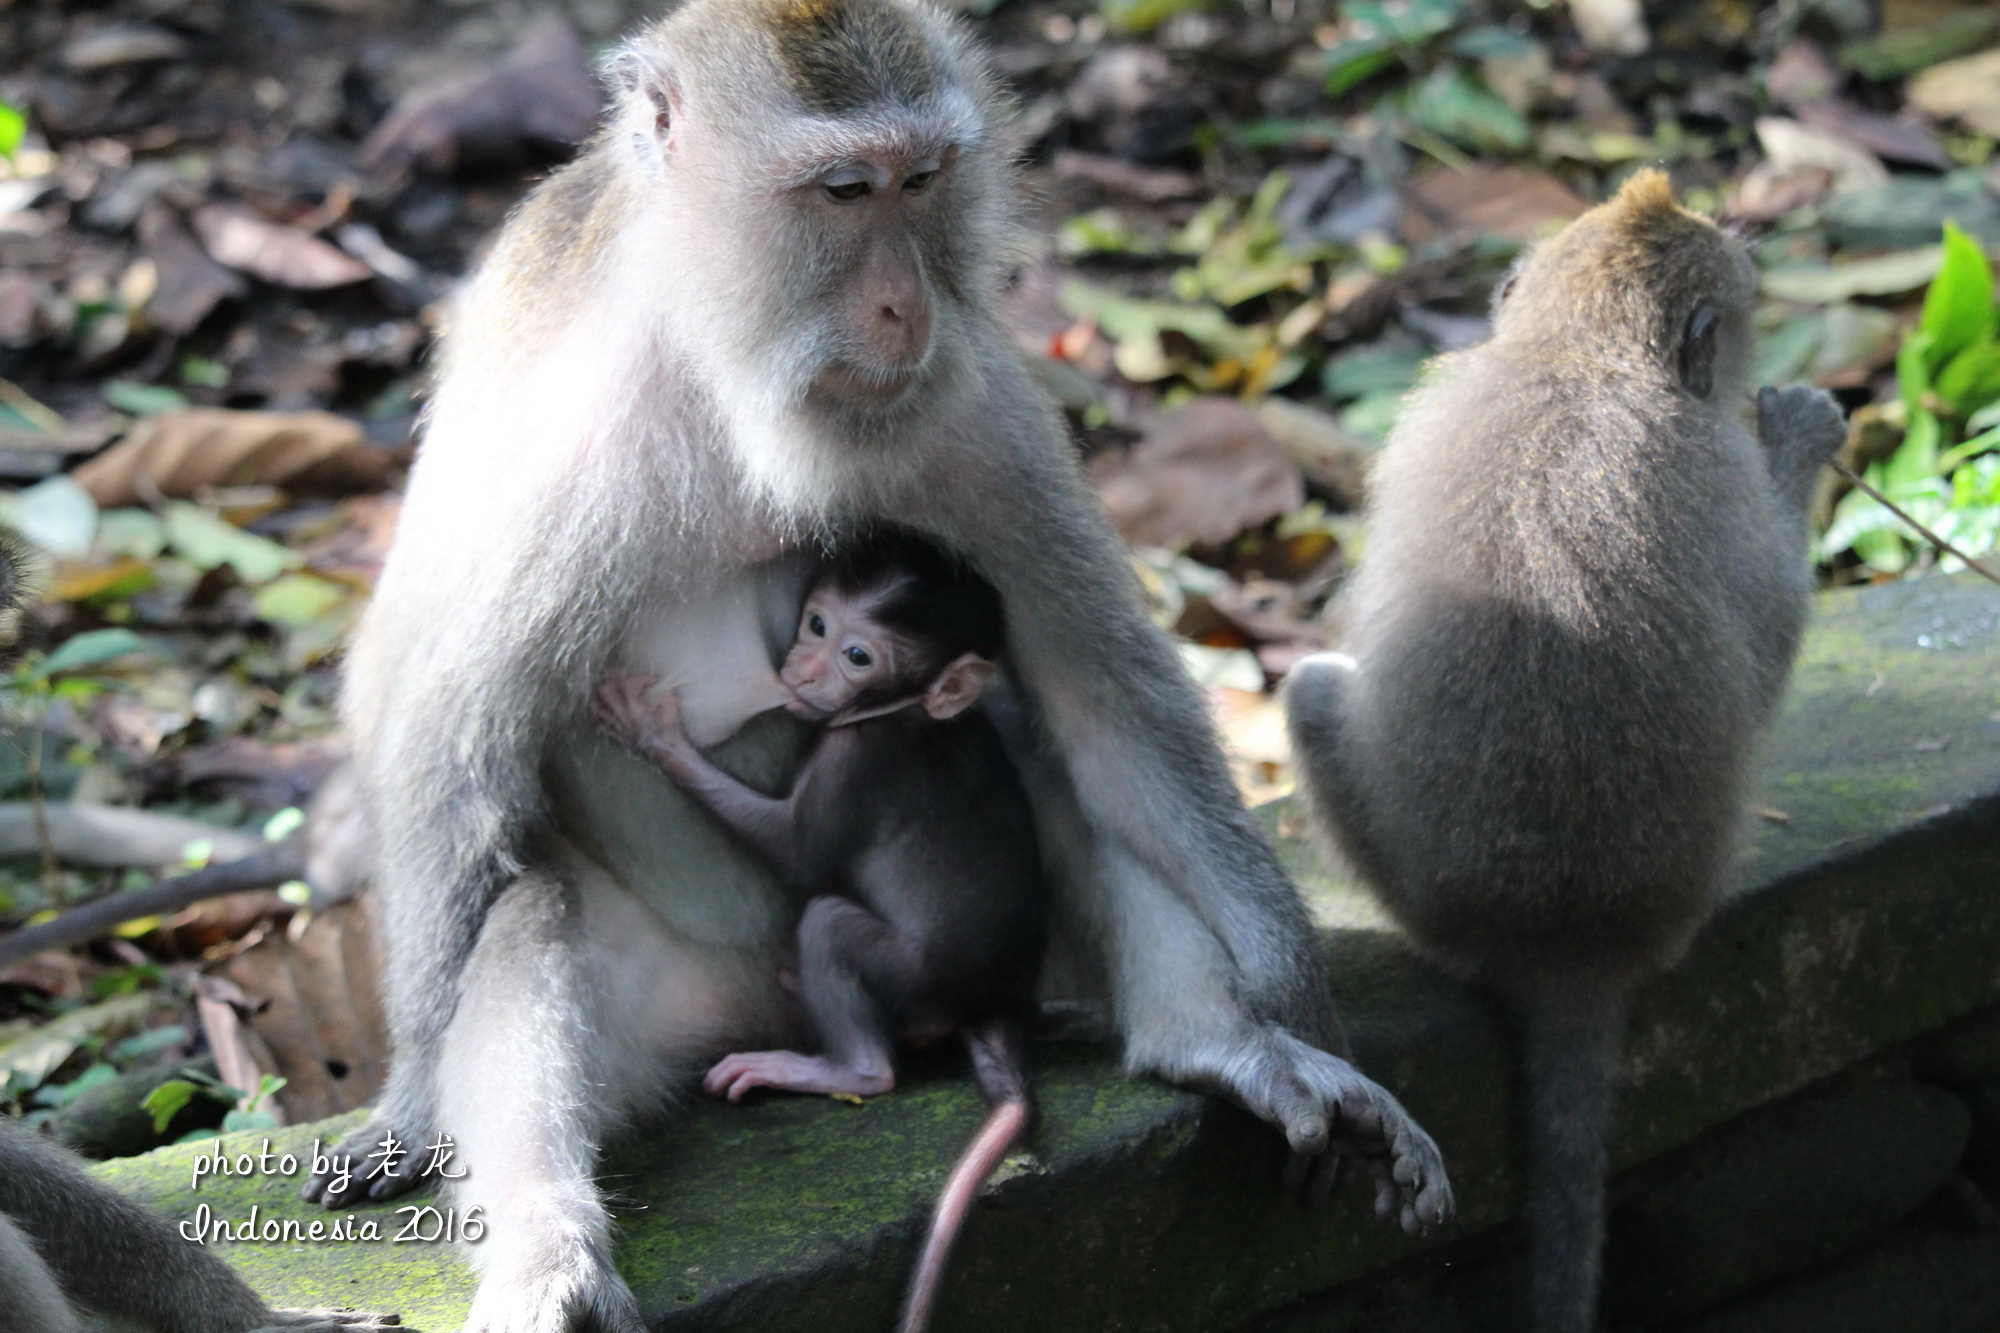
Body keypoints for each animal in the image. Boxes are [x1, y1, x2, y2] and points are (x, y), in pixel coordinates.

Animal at [592, 528, 1048, 1328]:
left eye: (858, 656)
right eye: (816, 623)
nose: (804, 667)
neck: (907, 711)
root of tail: (993, 999)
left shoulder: (858, 755)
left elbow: (799, 851)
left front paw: (659, 736)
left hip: (916, 978)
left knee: (832, 927)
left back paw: (838, 1065)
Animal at [1280, 166, 1840, 1328]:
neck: (1577, 352)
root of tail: (1569, 937)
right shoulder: (1716, 464)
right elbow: (1766, 648)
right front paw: (1802, 440)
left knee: (1309, 689)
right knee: (1313, 690)